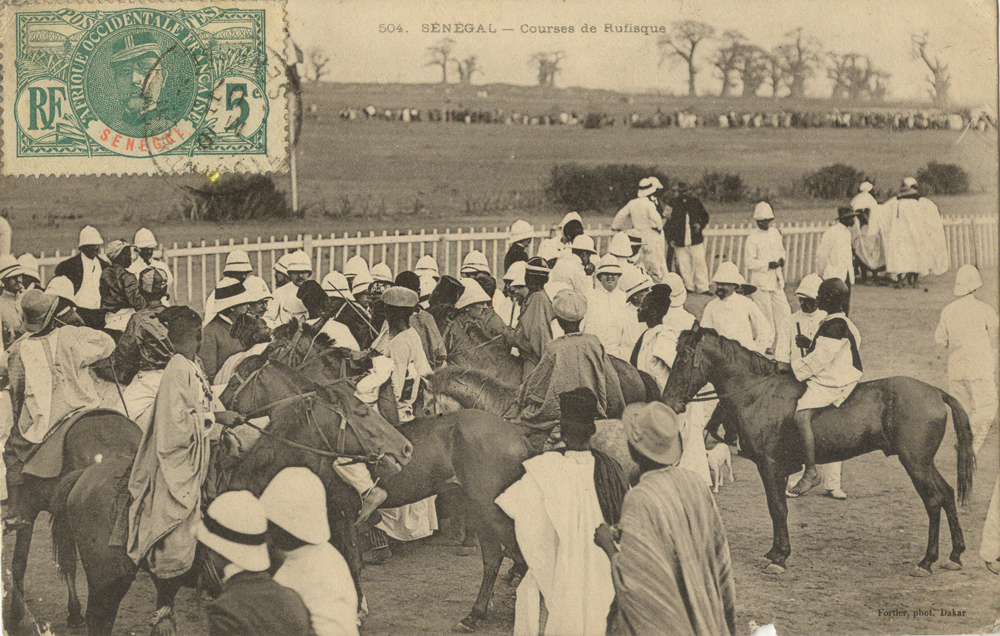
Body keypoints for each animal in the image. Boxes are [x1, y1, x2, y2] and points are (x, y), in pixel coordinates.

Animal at [3, 410, 141, 632]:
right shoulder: (62, 516)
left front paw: (15, 616)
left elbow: (19, 562)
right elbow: (68, 563)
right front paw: (75, 614)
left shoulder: (28, 508)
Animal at [660, 326, 972, 580]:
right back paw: (955, 555)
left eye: (683, 358)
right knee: (946, 494)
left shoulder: (769, 465)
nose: (669, 403)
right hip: (924, 463)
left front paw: (780, 558)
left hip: (915, 463)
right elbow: (776, 509)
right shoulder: (776, 468)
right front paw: (775, 552)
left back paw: (927, 561)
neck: (758, 393)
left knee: (933, 501)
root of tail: (936, 392)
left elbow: (778, 508)